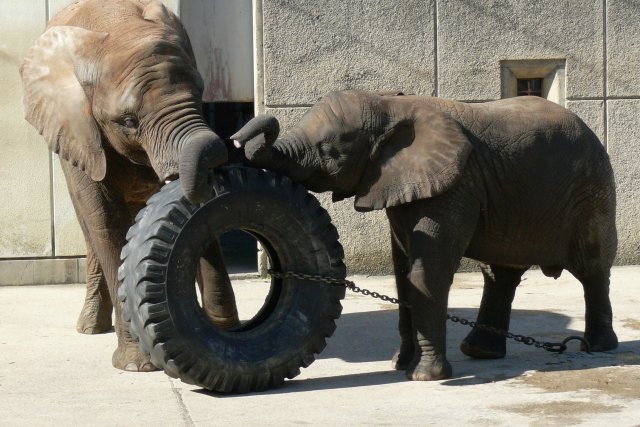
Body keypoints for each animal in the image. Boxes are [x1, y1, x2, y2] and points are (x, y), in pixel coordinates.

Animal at [21, 0, 240, 372]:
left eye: (199, 94)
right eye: (128, 122)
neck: (116, 25)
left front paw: (224, 332)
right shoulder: (78, 128)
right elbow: (107, 223)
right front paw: (137, 364)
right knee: (91, 226)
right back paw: (89, 329)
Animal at [235, 89, 620, 382]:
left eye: (330, 153)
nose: (236, 138)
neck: (390, 105)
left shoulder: (455, 185)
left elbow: (426, 273)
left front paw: (424, 377)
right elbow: (403, 275)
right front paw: (399, 366)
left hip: (593, 191)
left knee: (592, 267)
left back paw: (598, 347)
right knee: (500, 274)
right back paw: (479, 351)